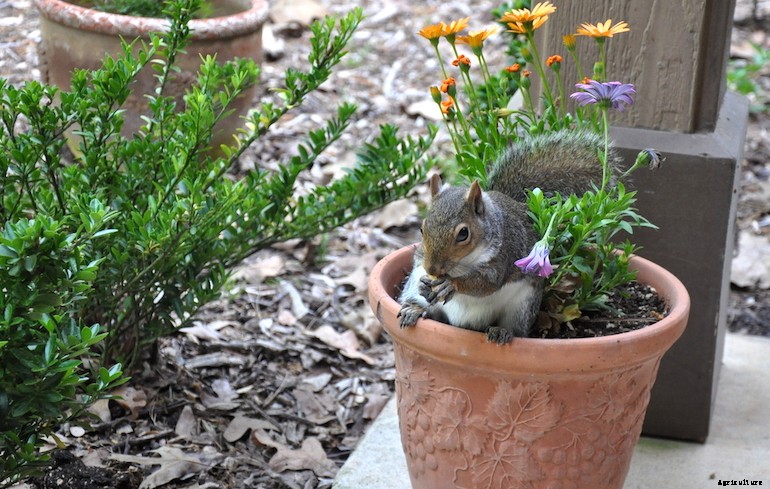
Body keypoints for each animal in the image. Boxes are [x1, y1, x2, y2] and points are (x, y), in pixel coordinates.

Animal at [397, 129, 619, 344]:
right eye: (422, 229)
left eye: (463, 234)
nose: (431, 269)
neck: (463, 263)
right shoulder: (420, 261)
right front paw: (426, 285)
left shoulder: (503, 256)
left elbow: (486, 284)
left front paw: (452, 284)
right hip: (413, 290)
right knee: (427, 308)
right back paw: (415, 310)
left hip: (522, 307)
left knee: (515, 327)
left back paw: (502, 331)